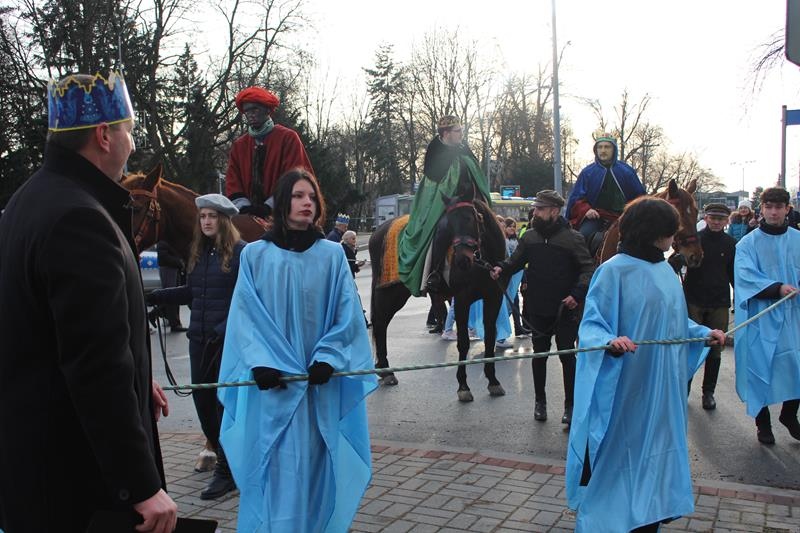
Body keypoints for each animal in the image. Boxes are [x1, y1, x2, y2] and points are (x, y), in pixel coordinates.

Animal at [369, 192, 509, 402]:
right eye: (448, 224)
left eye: (471, 219)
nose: (461, 260)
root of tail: (378, 231)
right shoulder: (462, 300)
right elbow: (463, 342)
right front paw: (463, 386)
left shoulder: (494, 298)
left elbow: (490, 338)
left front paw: (493, 381)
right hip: (390, 293)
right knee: (379, 325)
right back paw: (386, 371)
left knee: (381, 324)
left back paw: (384, 371)